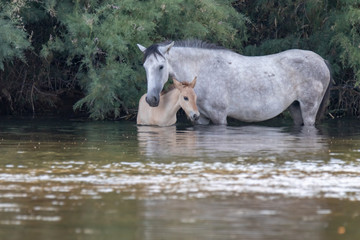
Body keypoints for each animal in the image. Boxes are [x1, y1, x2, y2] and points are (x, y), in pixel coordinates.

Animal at [138, 39, 332, 125]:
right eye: (145, 66)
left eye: (161, 66)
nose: (151, 99)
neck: (203, 70)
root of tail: (322, 60)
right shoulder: (202, 118)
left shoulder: (219, 117)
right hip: (295, 107)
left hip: (309, 108)